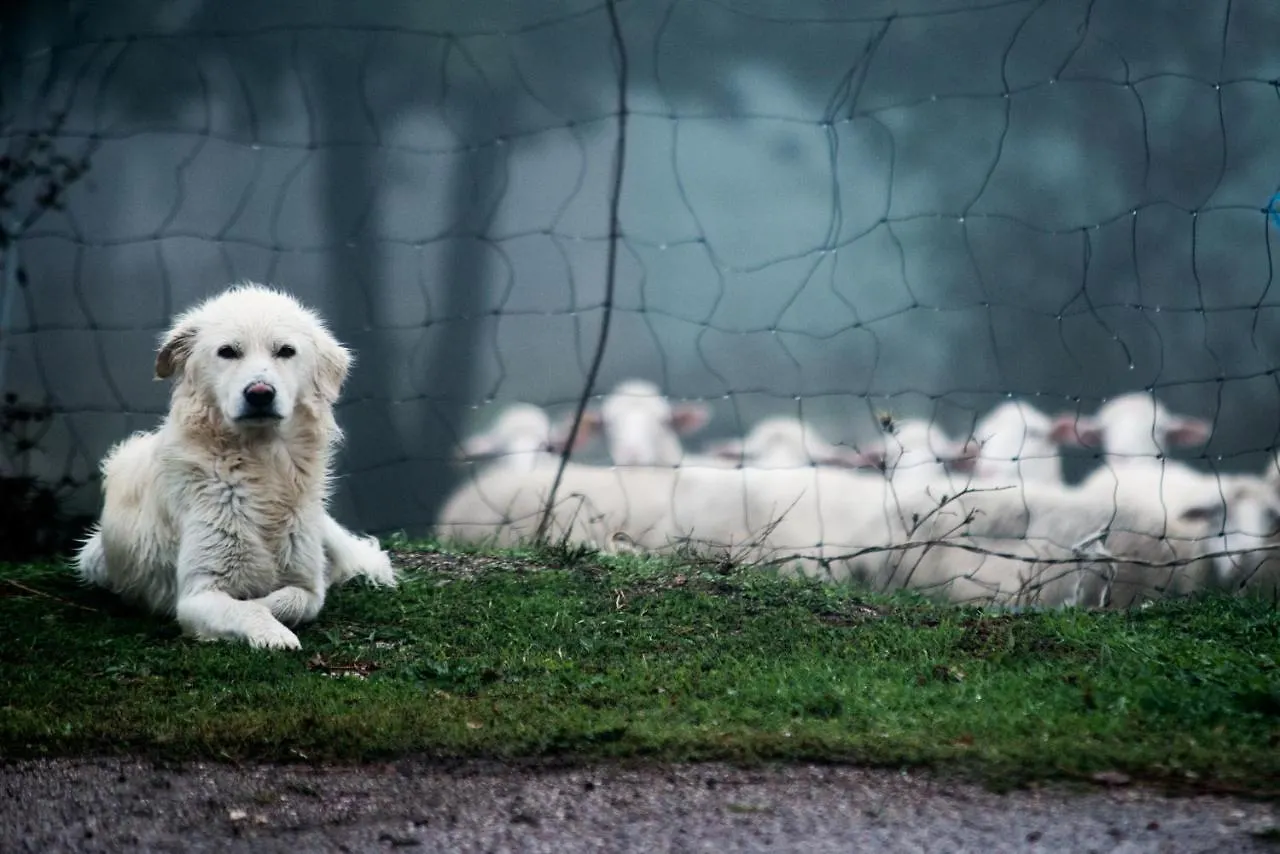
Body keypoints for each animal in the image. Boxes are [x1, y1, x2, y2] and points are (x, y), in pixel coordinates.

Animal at [74, 284, 394, 650]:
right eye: (227, 352)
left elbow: (292, 600)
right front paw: (273, 633)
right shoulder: (198, 594)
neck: (261, 462)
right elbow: (245, 608)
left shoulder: (306, 585)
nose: (260, 393)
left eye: (285, 351)